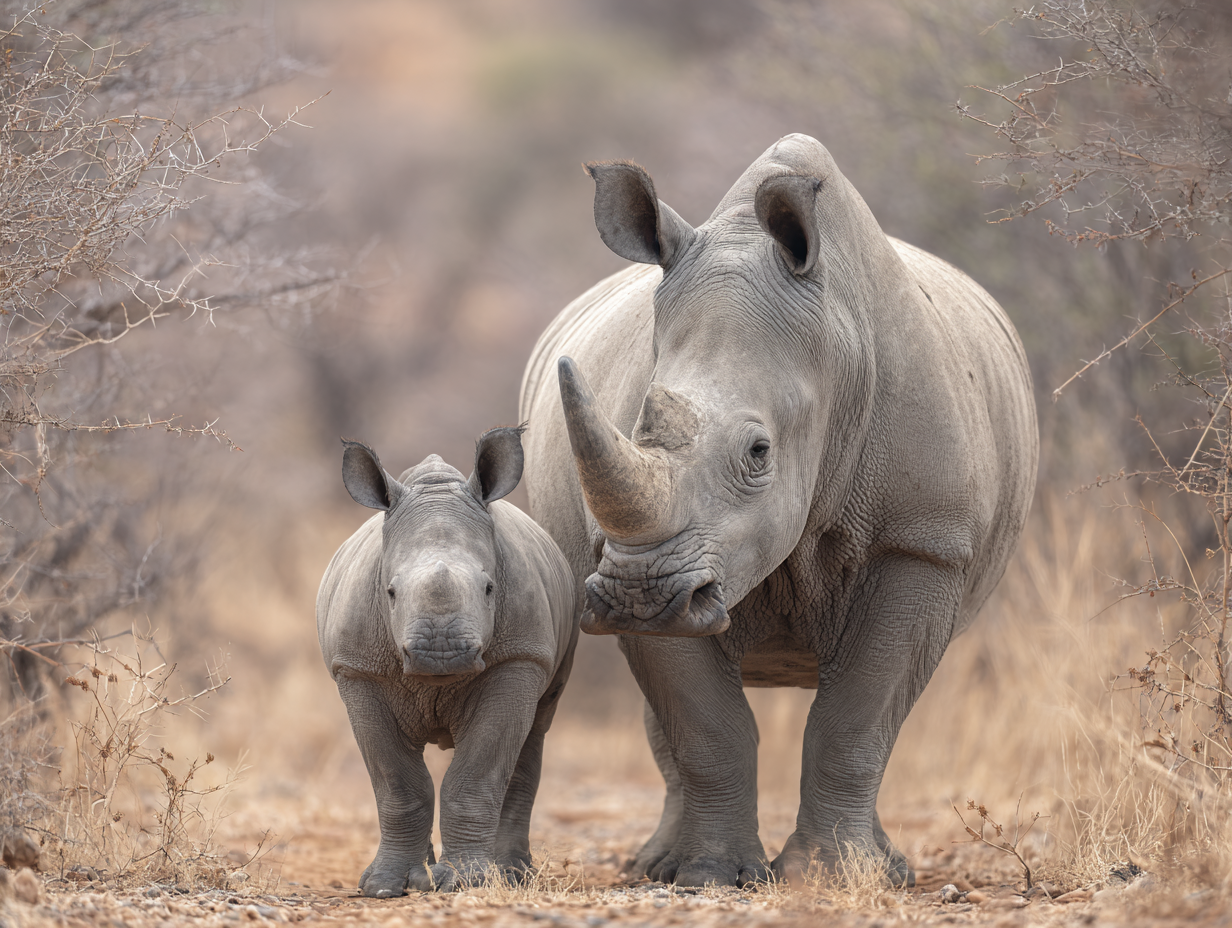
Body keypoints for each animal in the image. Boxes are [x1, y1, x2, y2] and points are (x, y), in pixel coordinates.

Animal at [316, 427, 579, 895]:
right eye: (390, 592)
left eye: (490, 588)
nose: (442, 653)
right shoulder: (358, 671)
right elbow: (397, 784)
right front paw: (384, 886)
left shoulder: (519, 658)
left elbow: (477, 775)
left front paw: (467, 881)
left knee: (534, 734)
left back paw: (510, 875)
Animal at [519, 134, 1038, 887]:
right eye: (636, 427)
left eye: (759, 452)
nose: (643, 595)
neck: (836, 354)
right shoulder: (633, 555)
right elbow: (706, 724)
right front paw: (711, 875)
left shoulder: (923, 540)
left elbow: (858, 716)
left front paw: (835, 875)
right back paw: (656, 866)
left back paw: (891, 871)